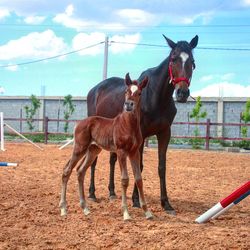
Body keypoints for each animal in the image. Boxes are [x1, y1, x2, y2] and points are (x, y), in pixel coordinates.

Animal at [59, 73, 153, 220]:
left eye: (139, 93)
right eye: (126, 91)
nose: (129, 105)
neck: (128, 125)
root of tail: (78, 124)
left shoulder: (134, 152)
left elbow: (138, 179)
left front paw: (147, 212)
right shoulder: (121, 151)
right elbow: (125, 179)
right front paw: (126, 213)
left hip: (93, 150)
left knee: (80, 171)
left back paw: (85, 208)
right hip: (80, 148)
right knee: (67, 170)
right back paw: (63, 209)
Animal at [87, 34, 198, 215]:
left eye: (192, 62)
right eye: (173, 59)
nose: (182, 93)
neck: (155, 96)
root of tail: (95, 89)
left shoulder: (165, 133)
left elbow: (161, 167)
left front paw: (166, 203)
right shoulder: (141, 134)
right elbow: (138, 165)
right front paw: (136, 200)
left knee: (112, 159)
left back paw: (112, 192)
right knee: (94, 160)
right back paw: (91, 193)